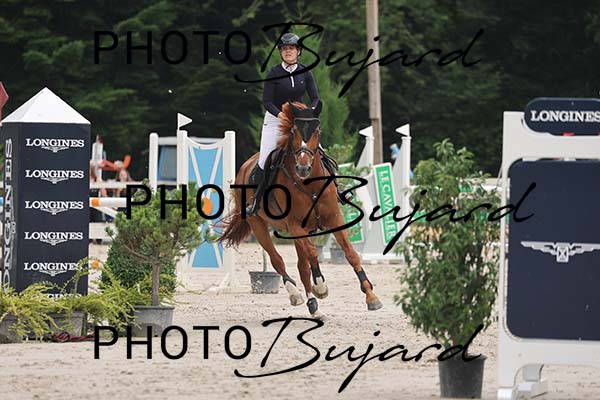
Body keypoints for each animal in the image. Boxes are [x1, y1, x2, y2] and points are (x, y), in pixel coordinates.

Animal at [218, 101, 383, 318]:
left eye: (317, 130)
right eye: (294, 130)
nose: (303, 168)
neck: (309, 184)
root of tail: (245, 166)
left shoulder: (334, 219)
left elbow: (350, 253)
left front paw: (371, 296)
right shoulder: (296, 225)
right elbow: (312, 254)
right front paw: (320, 287)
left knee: (301, 265)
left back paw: (313, 307)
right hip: (259, 225)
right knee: (277, 260)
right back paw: (297, 294)